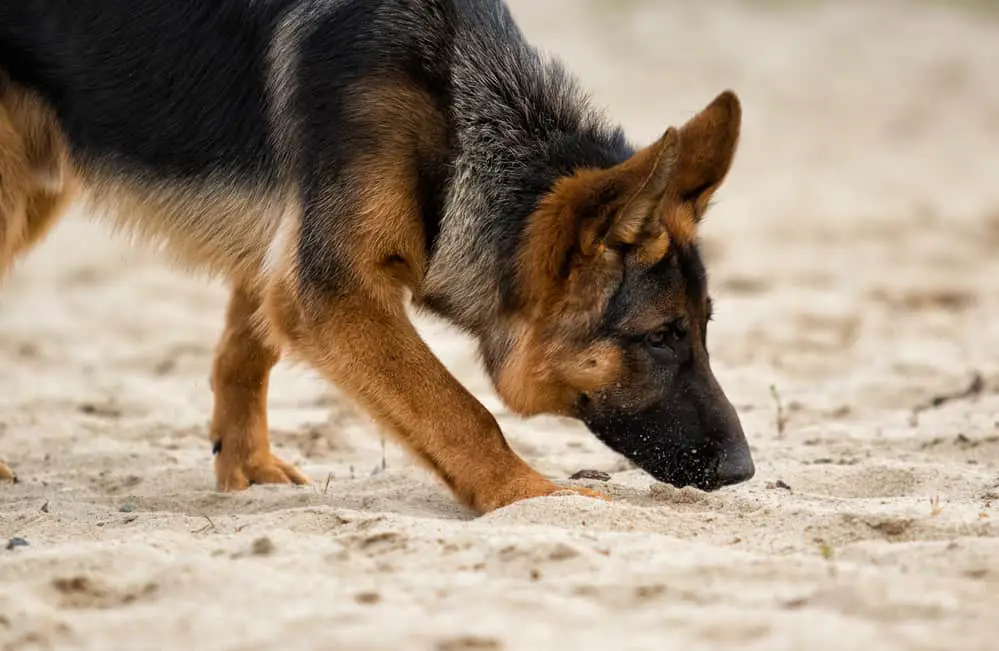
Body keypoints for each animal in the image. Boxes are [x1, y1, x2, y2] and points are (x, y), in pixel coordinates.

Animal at [0, 0, 752, 512]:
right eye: (660, 336)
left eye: (703, 329)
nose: (743, 469)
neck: (459, 115)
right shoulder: (334, 289)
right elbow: (461, 411)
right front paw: (533, 494)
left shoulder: (291, 257)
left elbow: (245, 351)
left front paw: (246, 468)